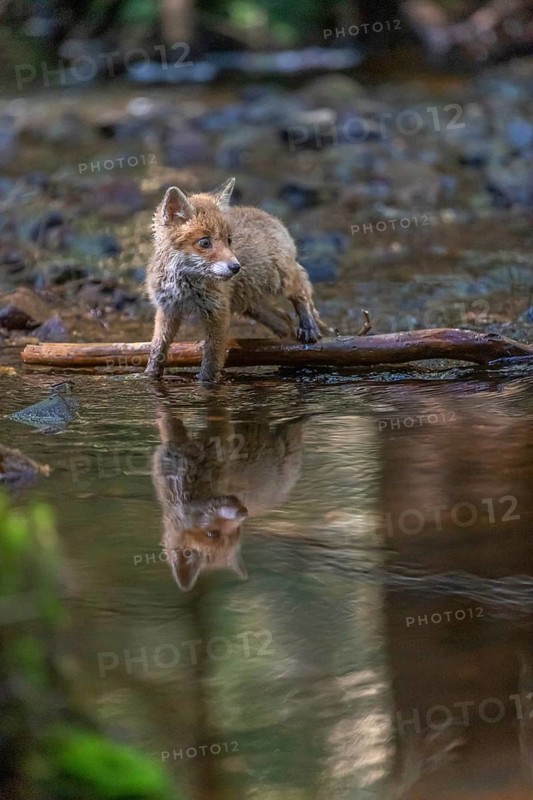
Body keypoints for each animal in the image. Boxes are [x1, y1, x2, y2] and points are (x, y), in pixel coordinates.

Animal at [145, 177, 330, 381]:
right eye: (205, 242)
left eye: (229, 240)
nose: (236, 267)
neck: (186, 286)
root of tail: (269, 216)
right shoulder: (168, 310)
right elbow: (158, 349)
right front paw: (150, 376)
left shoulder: (218, 312)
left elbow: (212, 358)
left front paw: (206, 382)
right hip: (252, 307)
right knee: (284, 319)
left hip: (279, 281)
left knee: (300, 293)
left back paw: (307, 326)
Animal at [152, 397, 304, 591]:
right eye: (212, 533)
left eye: (236, 531)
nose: (243, 512)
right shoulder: (172, 449)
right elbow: (167, 415)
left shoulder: (221, 435)